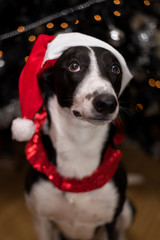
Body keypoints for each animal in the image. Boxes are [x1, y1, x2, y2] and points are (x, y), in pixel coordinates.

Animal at [11, 33, 133, 240]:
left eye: (115, 68)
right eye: (73, 65)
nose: (107, 103)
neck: (79, 141)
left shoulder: (110, 221)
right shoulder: (41, 221)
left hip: (126, 210)